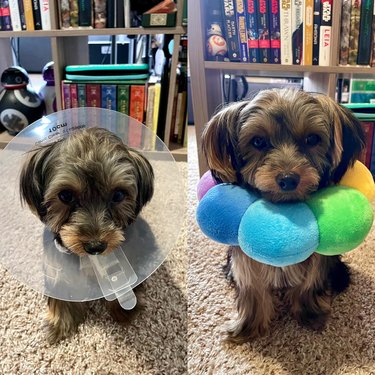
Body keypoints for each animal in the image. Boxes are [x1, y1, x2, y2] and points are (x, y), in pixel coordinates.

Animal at [18, 127, 154, 344]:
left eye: (118, 195)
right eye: (65, 195)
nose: (95, 247)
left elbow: (120, 279)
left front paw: (123, 309)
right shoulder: (56, 264)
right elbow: (59, 289)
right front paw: (59, 323)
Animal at [203, 89, 368, 344]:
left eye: (312, 139)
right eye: (258, 142)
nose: (288, 179)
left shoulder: (317, 258)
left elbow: (310, 281)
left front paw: (310, 315)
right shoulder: (245, 259)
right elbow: (252, 286)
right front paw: (249, 326)